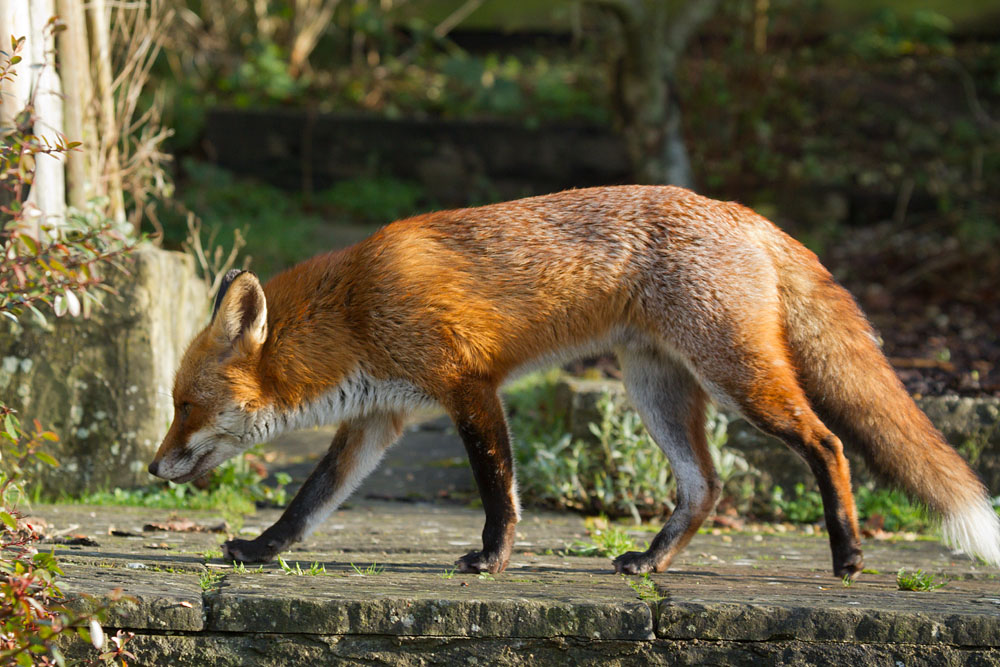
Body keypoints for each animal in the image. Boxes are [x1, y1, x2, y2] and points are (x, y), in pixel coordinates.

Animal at [148, 185, 1000, 579]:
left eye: (184, 403)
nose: (153, 467)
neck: (355, 310)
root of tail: (741, 211)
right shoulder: (377, 419)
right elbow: (309, 500)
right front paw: (259, 550)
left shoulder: (469, 385)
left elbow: (498, 489)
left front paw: (491, 560)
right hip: (656, 390)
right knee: (707, 486)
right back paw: (650, 562)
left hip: (737, 379)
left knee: (827, 441)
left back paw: (848, 553)